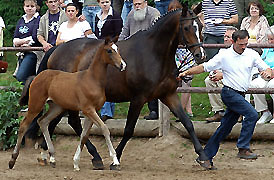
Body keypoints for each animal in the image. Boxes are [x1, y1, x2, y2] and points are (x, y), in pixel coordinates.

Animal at [8, 38, 126, 171]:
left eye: (118, 49)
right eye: (109, 50)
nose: (122, 65)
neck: (92, 79)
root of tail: (36, 77)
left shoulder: (92, 112)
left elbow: (84, 136)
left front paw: (76, 163)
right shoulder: (88, 110)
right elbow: (105, 129)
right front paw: (115, 161)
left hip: (57, 107)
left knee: (42, 121)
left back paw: (52, 158)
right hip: (36, 105)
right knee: (23, 125)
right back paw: (12, 160)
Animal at [20, 4, 211, 169]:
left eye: (200, 26)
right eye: (187, 28)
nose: (200, 55)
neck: (154, 54)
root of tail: (56, 49)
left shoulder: (168, 95)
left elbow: (188, 123)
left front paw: (204, 158)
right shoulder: (138, 98)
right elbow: (128, 130)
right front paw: (115, 158)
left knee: (55, 121)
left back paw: (47, 154)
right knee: (72, 122)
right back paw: (94, 157)